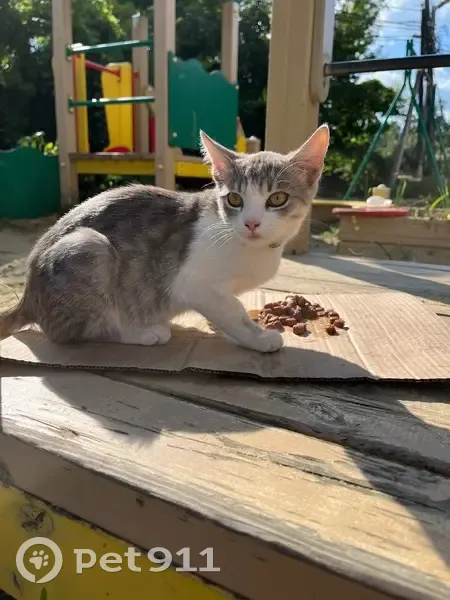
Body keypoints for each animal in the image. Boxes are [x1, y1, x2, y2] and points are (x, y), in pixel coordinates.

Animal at [0, 124, 329, 353]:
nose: (251, 223)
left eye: (277, 198)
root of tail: (28, 294)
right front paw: (257, 337)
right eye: (235, 199)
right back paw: (142, 332)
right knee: (74, 332)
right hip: (89, 247)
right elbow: (232, 311)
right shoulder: (192, 282)